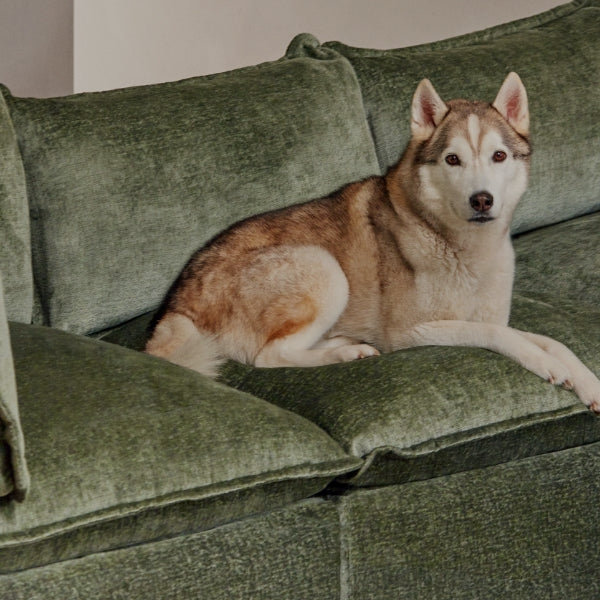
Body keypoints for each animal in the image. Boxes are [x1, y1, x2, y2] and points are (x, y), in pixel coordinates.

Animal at [146, 72, 600, 413]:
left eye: (499, 156)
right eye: (452, 159)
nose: (482, 199)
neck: (460, 246)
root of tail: (176, 304)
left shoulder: (488, 316)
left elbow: (551, 340)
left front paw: (586, 381)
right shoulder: (411, 332)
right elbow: (500, 336)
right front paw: (543, 364)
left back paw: (343, 342)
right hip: (323, 268)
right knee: (269, 355)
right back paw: (346, 354)